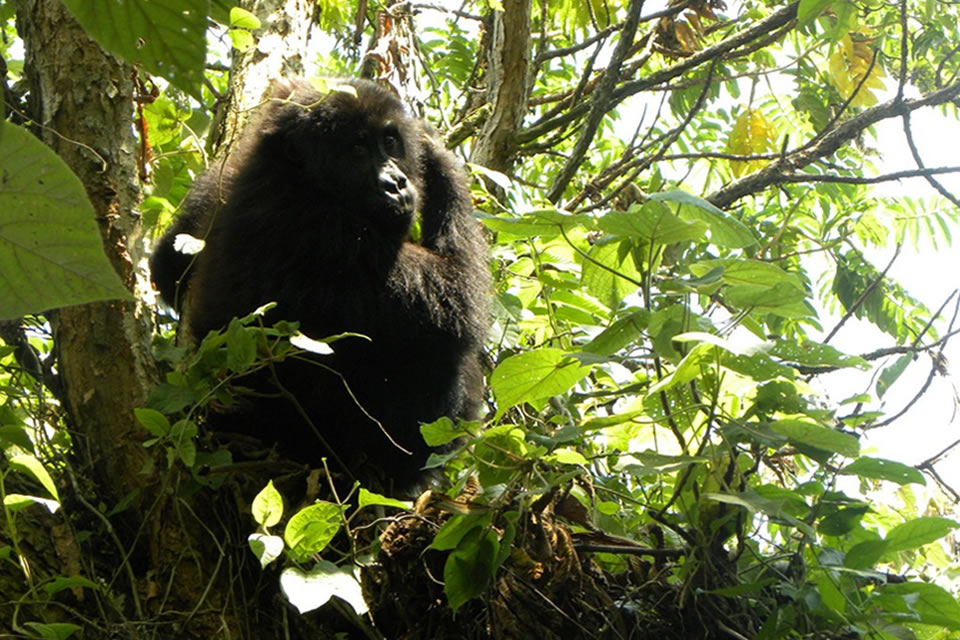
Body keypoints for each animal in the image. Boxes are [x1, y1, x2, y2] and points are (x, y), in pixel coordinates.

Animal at [150, 78, 489, 490]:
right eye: (357, 149)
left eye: (389, 141)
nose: (395, 183)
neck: (296, 174)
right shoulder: (337, 237)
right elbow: (460, 300)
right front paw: (437, 154)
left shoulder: (219, 179)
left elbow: (165, 264)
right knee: (443, 352)